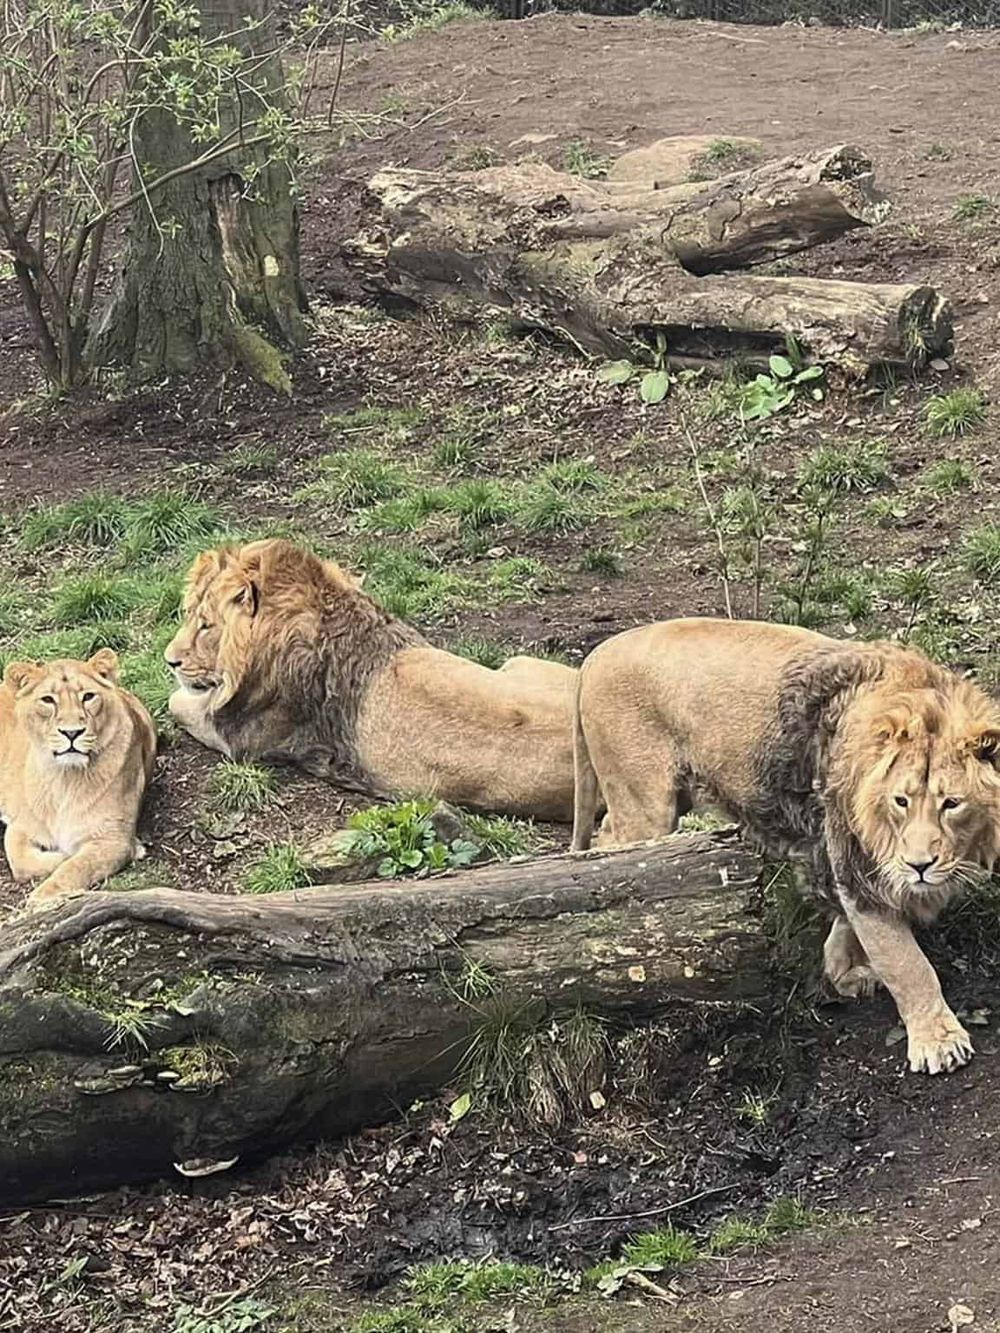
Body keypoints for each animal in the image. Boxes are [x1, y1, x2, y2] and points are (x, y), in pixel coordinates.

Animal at [0, 650, 157, 910]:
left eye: (88, 697)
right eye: (48, 700)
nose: (72, 733)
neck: (64, 778)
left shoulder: (113, 838)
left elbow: (75, 867)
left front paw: (44, 897)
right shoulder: (20, 825)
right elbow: (21, 861)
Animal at [163, 539, 578, 820]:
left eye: (206, 625)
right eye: (188, 615)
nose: (169, 661)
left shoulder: (238, 738)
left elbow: (175, 702)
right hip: (518, 661)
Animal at [571, 618, 1000, 1076]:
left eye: (951, 804)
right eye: (901, 801)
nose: (919, 865)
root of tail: (593, 658)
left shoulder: (836, 859)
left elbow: (848, 927)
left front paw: (841, 972)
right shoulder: (861, 868)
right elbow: (907, 963)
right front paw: (938, 1041)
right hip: (645, 805)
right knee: (614, 848)